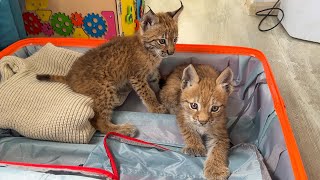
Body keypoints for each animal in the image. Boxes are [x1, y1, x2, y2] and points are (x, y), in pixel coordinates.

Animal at [36, 2, 184, 136]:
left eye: (175, 39)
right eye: (162, 41)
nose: (171, 52)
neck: (151, 52)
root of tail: (69, 75)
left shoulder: (151, 71)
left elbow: (156, 82)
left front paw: (164, 91)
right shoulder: (137, 76)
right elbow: (147, 93)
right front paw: (156, 108)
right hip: (105, 88)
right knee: (98, 122)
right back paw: (123, 129)